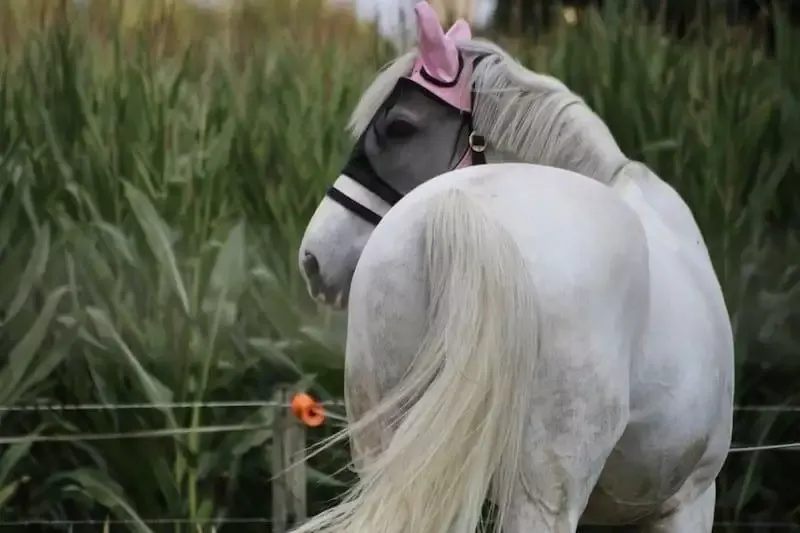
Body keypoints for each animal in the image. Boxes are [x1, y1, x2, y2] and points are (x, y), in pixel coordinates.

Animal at [294, 2, 734, 532]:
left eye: (399, 125)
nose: (313, 259)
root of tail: (461, 207)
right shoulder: (689, 499)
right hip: (544, 494)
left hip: (386, 452)